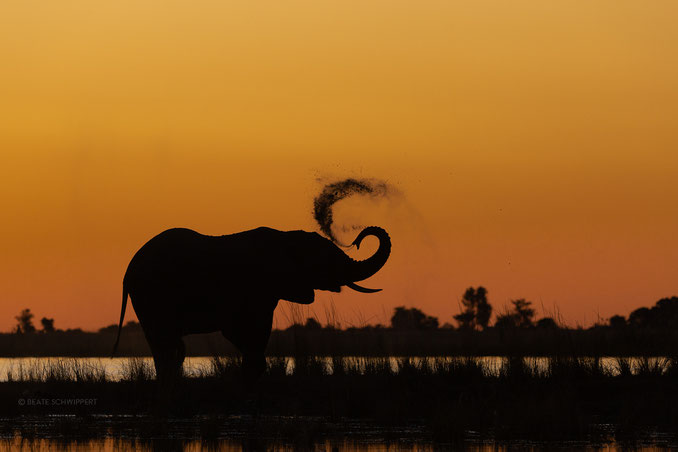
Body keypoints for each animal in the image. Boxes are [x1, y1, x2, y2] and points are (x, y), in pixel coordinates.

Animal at [112, 226, 391, 383]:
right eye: (326, 259)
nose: (356, 240)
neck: (286, 239)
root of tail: (128, 270)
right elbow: (241, 330)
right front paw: (249, 375)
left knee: (168, 344)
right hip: (152, 295)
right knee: (167, 342)